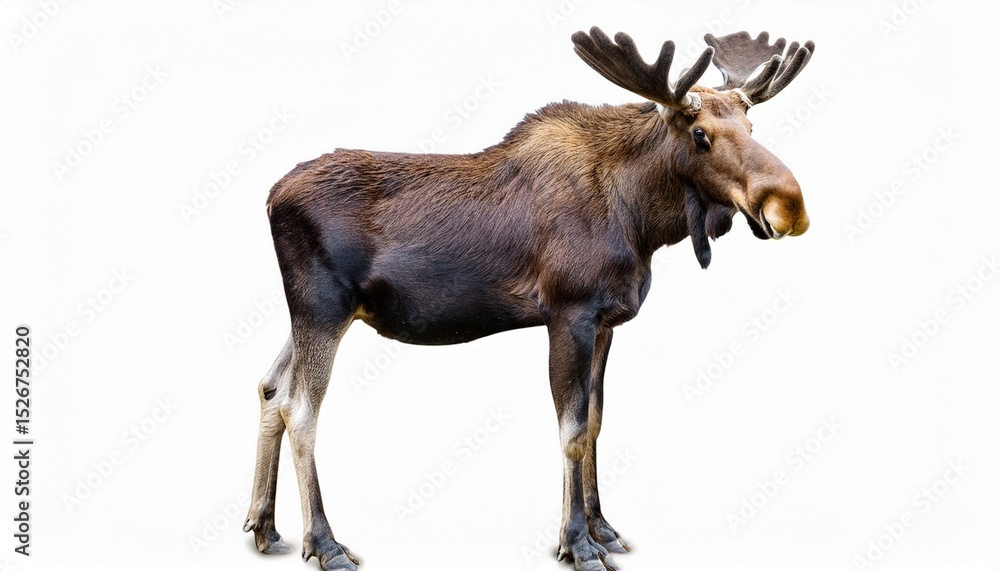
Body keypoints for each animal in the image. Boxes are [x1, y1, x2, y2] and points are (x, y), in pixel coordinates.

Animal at [243, 27, 814, 571]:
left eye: (752, 127)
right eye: (700, 134)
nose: (789, 205)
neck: (641, 219)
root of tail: (269, 197)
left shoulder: (606, 321)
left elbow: (597, 421)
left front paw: (603, 527)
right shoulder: (569, 312)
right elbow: (573, 430)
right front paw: (578, 543)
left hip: (314, 314)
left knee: (270, 386)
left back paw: (264, 527)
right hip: (322, 308)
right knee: (301, 409)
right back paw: (325, 543)